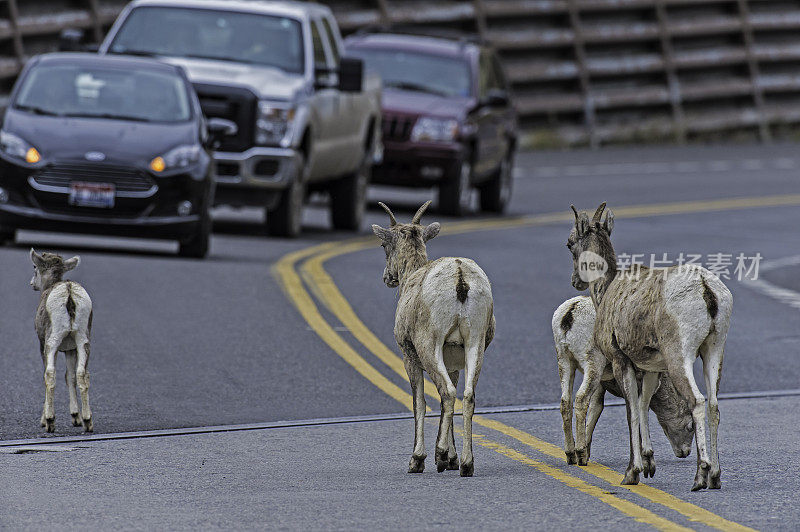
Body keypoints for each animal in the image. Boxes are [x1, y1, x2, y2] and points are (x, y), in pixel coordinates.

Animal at [31, 249, 94, 432]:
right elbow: (70, 377)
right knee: (82, 374)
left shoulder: (42, 344)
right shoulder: (70, 349)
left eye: (35, 267)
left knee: (50, 374)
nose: (32, 283)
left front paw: (44, 420)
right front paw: (75, 418)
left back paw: (50, 421)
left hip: (52, 340)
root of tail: (69, 292)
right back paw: (88, 421)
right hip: (82, 340)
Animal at [374, 202, 494, 476]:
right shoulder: (454, 361)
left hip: (429, 346)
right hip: (475, 344)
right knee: (466, 396)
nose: (387, 278)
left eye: (384, 245)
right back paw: (466, 464)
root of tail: (460, 279)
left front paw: (418, 460)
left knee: (448, 393)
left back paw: (438, 456)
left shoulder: (409, 356)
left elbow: (419, 402)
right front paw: (452, 459)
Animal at [552, 296, 696, 470]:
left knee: (565, 402)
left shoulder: (602, 384)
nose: (684, 452)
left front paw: (587, 452)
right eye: (691, 426)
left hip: (565, 361)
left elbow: (596, 408)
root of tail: (570, 314)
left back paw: (571, 455)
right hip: (592, 363)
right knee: (581, 399)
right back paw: (579, 453)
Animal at [568, 204, 732, 490]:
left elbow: (631, 410)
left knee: (697, 401)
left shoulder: (621, 361)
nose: (576, 280)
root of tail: (706, 290)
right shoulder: (652, 368)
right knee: (713, 405)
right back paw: (715, 476)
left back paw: (700, 475)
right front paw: (648, 464)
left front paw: (632, 472)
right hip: (713, 351)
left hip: (680, 357)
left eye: (569, 244)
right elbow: (644, 404)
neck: (607, 291)